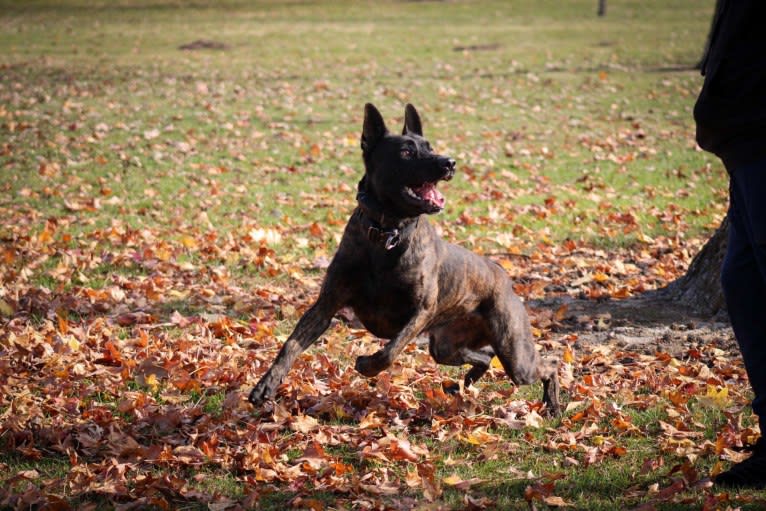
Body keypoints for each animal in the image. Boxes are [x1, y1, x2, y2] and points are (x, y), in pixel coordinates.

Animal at [249, 103, 560, 416]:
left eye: (430, 147)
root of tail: (501, 273)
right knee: (483, 356)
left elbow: (390, 351)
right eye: (407, 152)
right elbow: (291, 344)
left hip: (514, 353)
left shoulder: (420, 312)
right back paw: (468, 382)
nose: (449, 163)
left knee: (550, 366)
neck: (386, 233)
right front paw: (266, 384)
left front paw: (367, 364)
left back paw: (552, 405)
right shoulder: (326, 306)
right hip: (446, 347)